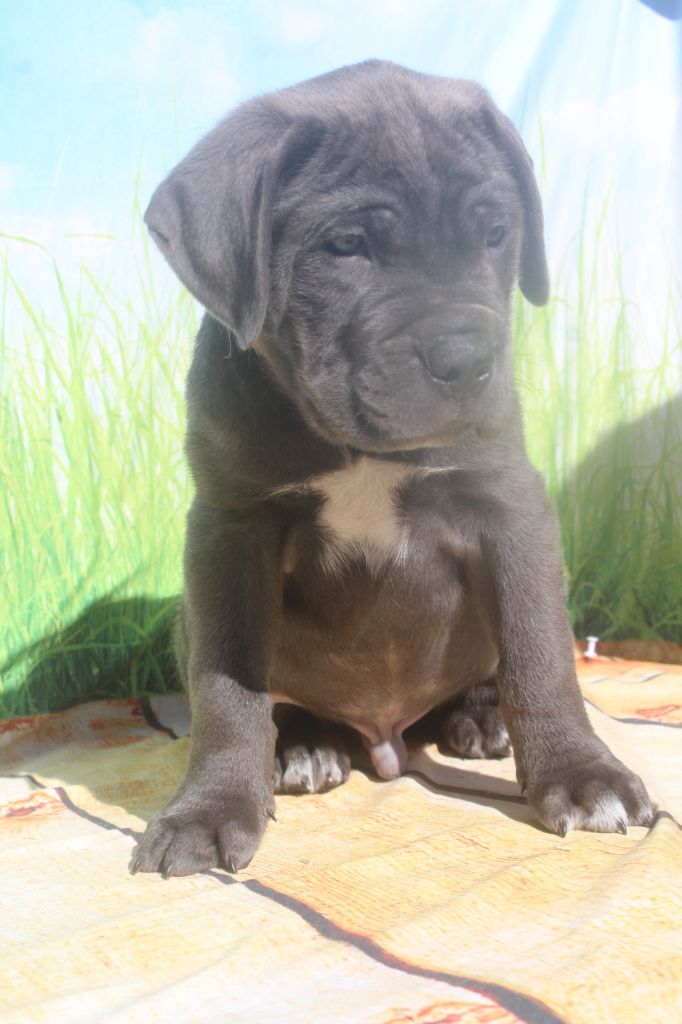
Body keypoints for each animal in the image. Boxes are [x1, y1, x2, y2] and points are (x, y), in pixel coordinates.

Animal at [131, 60, 653, 878]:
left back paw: (479, 716)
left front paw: (581, 773)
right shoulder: (228, 529)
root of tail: (387, 737)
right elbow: (228, 684)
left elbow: (541, 652)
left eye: (495, 234)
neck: (358, 450)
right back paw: (304, 743)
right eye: (347, 245)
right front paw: (211, 807)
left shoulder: (510, 506)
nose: (466, 359)